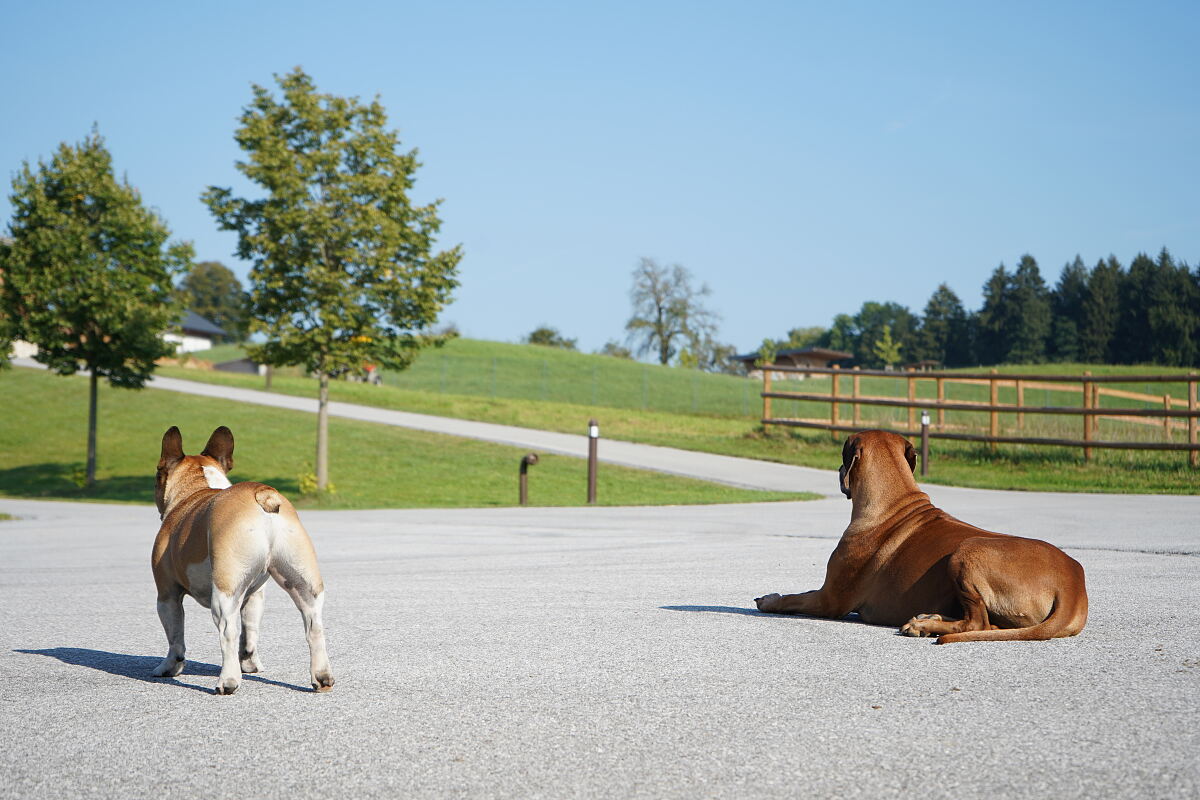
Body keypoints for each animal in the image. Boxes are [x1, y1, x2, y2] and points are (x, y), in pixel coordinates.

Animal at [153, 424, 338, 695]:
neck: (195, 489)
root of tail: (262, 495)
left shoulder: (167, 595)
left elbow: (175, 638)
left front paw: (169, 667)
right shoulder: (254, 595)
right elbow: (250, 632)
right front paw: (250, 664)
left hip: (224, 591)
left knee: (227, 632)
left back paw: (228, 681)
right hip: (303, 583)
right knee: (314, 626)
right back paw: (321, 677)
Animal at [758, 431, 1089, 642]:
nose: (839, 470)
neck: (893, 500)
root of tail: (1073, 586)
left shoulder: (829, 599)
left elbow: (794, 598)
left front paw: (770, 599)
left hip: (967, 551)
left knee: (979, 620)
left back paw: (925, 627)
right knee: (986, 624)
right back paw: (931, 620)